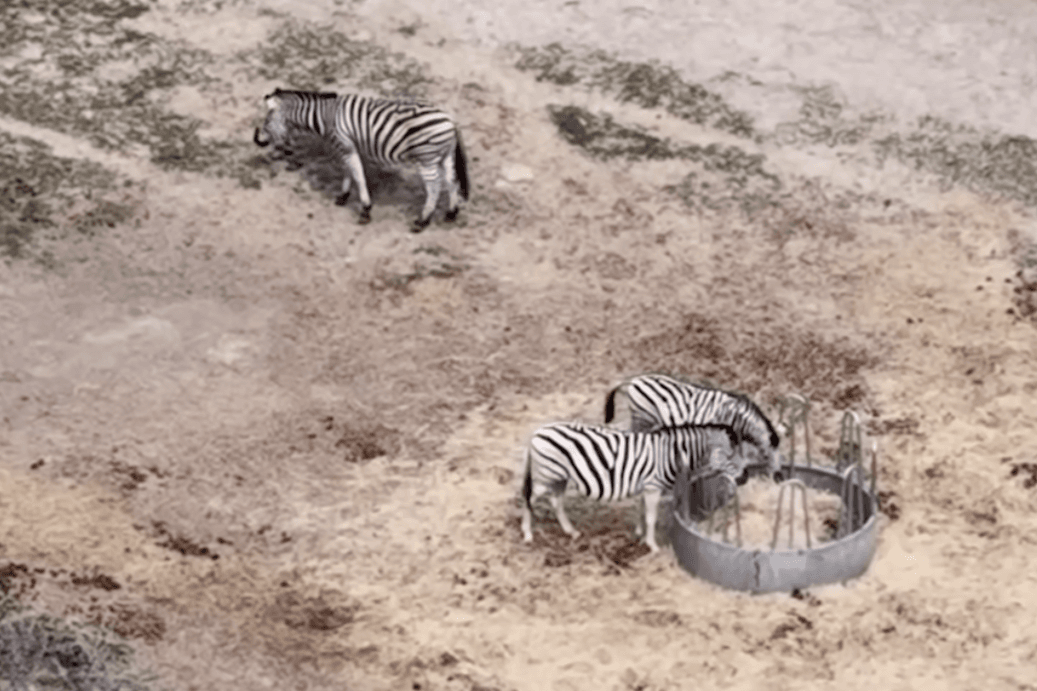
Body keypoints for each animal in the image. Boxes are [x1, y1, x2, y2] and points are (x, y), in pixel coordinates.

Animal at [253, 88, 470, 232]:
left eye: (267, 121)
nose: (260, 141)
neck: (326, 117)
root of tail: (451, 121)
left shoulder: (346, 145)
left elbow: (358, 175)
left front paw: (365, 210)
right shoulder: (347, 147)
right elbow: (348, 170)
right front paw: (343, 196)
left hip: (427, 157)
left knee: (434, 186)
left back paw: (422, 221)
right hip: (445, 155)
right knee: (452, 181)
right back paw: (451, 213)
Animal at [521, 422, 752, 552]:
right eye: (730, 456)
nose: (744, 478)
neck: (672, 454)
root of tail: (536, 432)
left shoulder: (646, 485)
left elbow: (642, 511)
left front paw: (640, 535)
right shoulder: (653, 486)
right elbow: (651, 516)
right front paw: (652, 545)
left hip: (559, 477)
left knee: (555, 500)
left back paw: (571, 532)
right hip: (547, 474)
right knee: (529, 498)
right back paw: (528, 534)